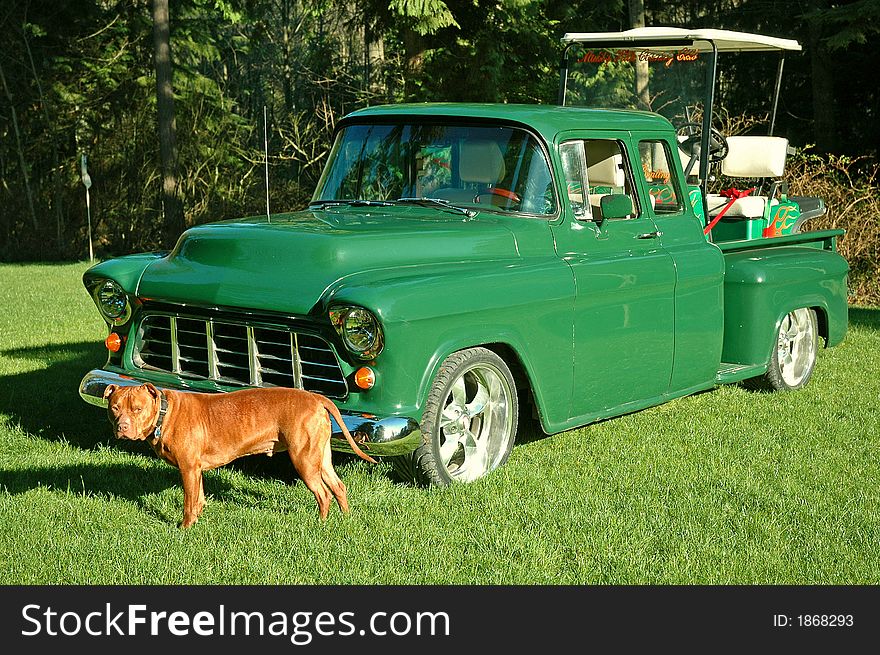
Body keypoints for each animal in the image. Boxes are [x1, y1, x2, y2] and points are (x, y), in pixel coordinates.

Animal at [102, 384, 374, 528]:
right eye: (115, 407)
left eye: (137, 409)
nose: (122, 427)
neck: (165, 413)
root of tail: (315, 397)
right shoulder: (196, 470)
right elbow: (198, 498)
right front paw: (198, 518)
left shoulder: (188, 468)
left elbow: (188, 502)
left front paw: (185, 527)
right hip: (321, 457)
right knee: (338, 487)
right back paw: (346, 518)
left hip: (304, 460)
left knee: (323, 493)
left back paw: (320, 523)